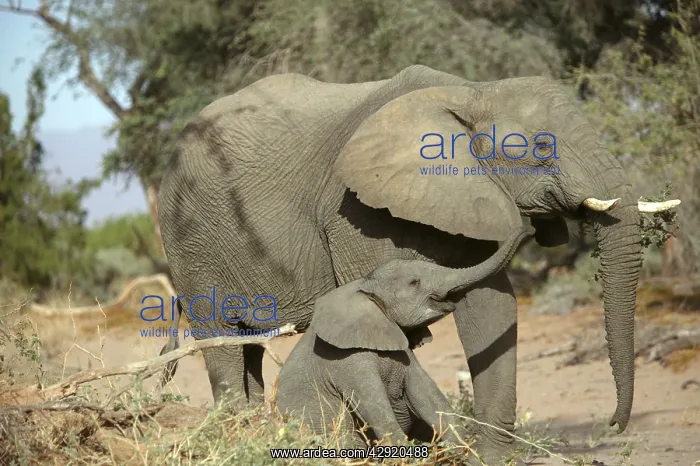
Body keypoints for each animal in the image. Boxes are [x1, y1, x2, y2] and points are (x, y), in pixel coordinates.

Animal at [275, 226, 534, 448]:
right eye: (414, 282)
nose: (529, 229)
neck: (364, 289)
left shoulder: (403, 351)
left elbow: (428, 396)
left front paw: (462, 449)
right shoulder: (347, 361)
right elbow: (378, 410)